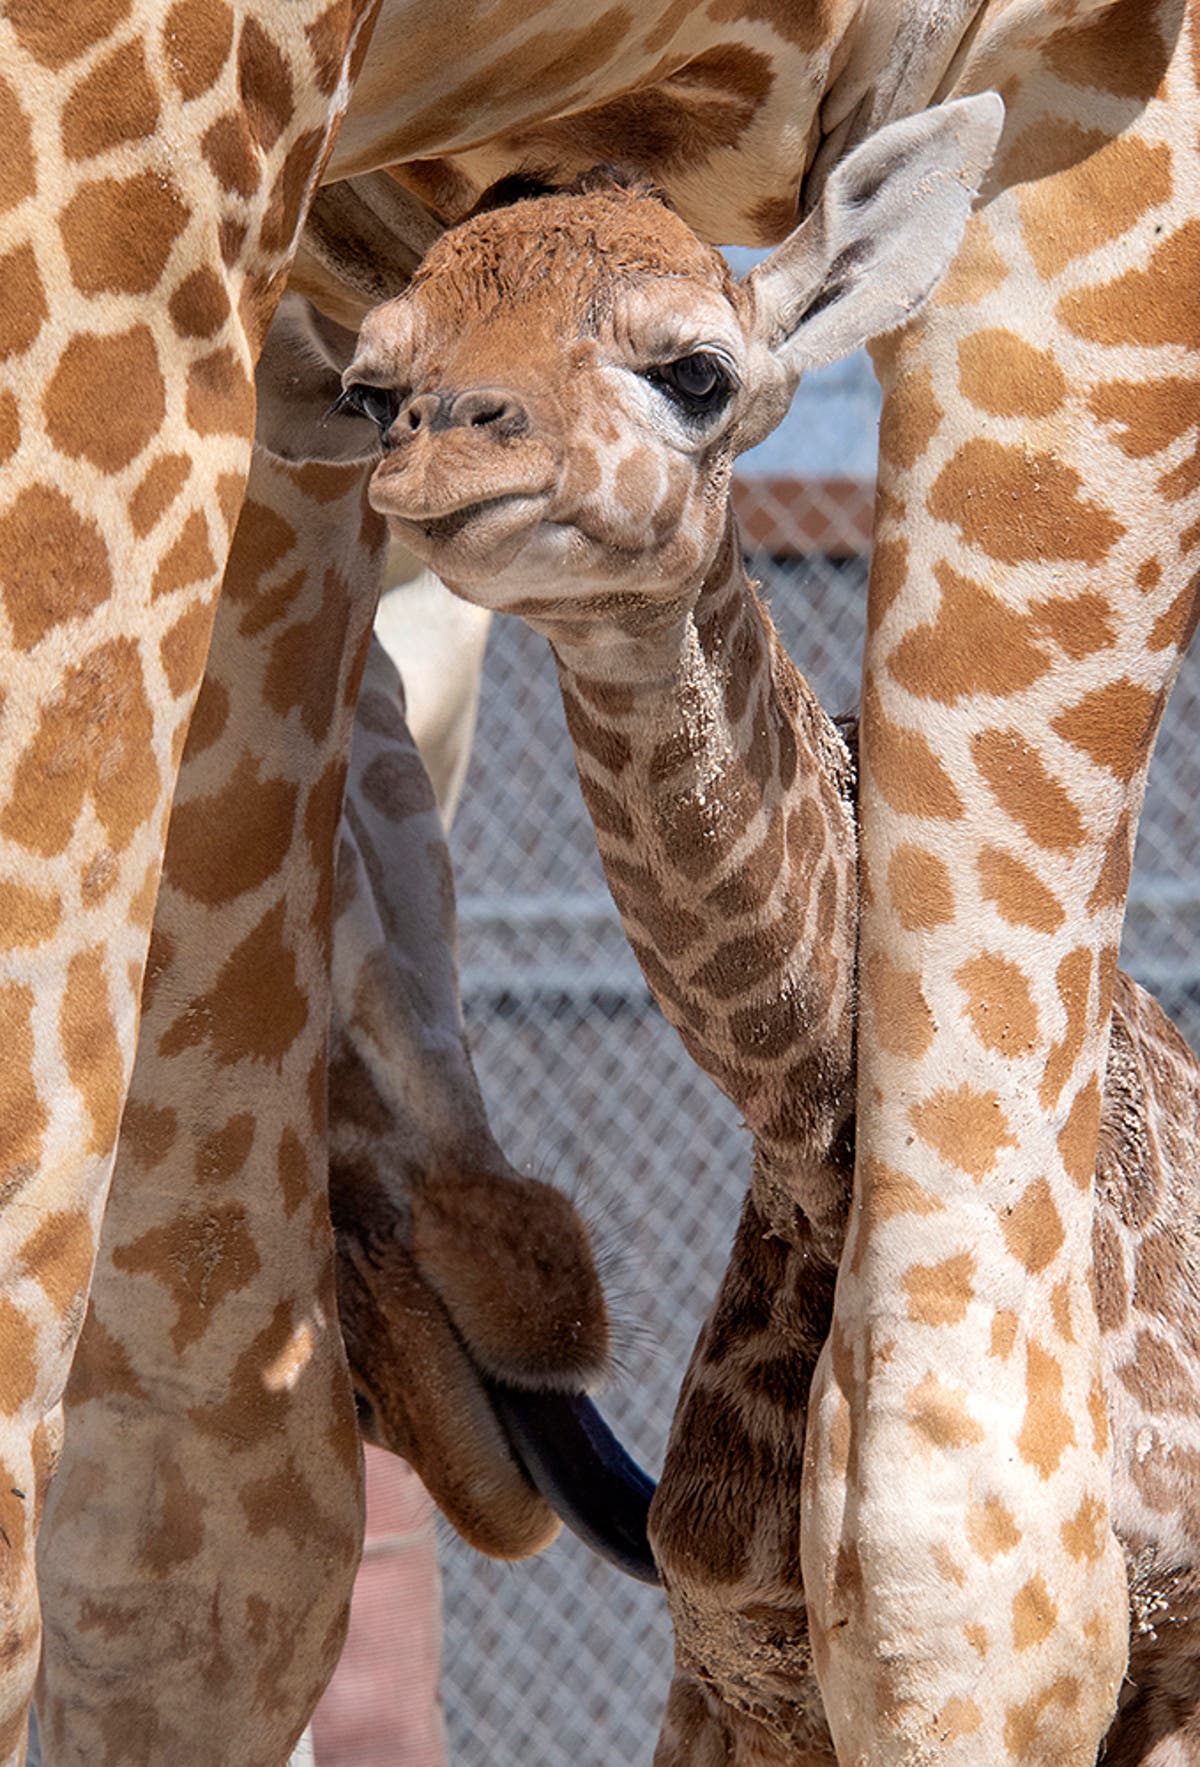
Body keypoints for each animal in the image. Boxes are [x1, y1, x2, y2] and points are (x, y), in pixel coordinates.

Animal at [342, 100, 1200, 1767]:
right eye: (372, 389)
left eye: (695, 368)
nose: (444, 450)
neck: (818, 1155)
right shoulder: (732, 1647)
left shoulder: (1156, 1645)